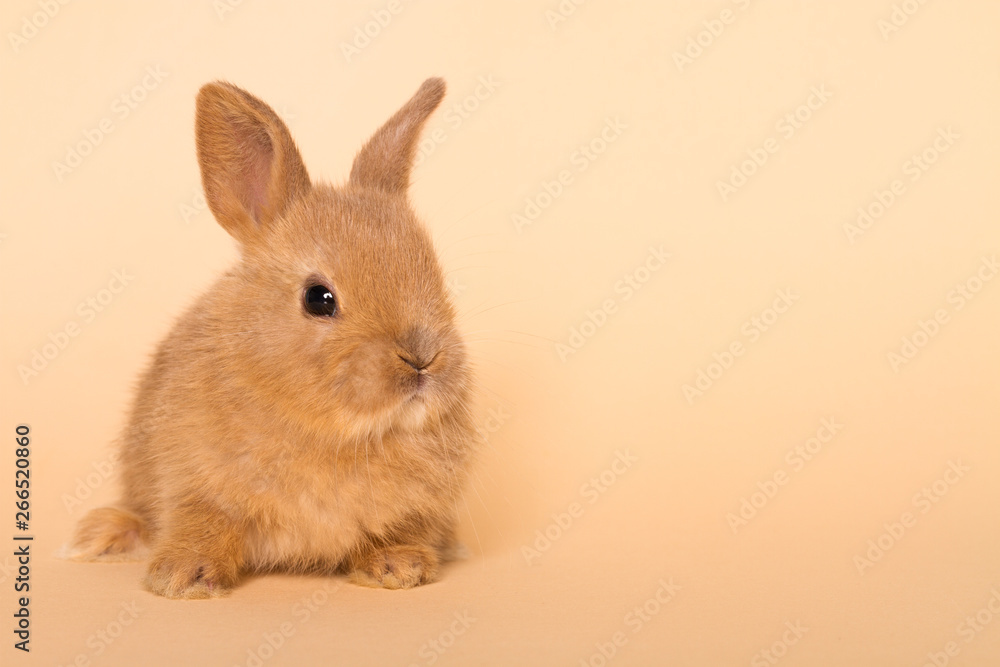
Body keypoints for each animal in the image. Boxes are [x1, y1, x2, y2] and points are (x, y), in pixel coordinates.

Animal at [68, 77, 477, 599]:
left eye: (437, 278)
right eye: (318, 298)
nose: (423, 358)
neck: (332, 431)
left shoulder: (417, 507)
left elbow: (399, 529)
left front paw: (400, 568)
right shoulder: (194, 484)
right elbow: (203, 522)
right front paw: (183, 578)